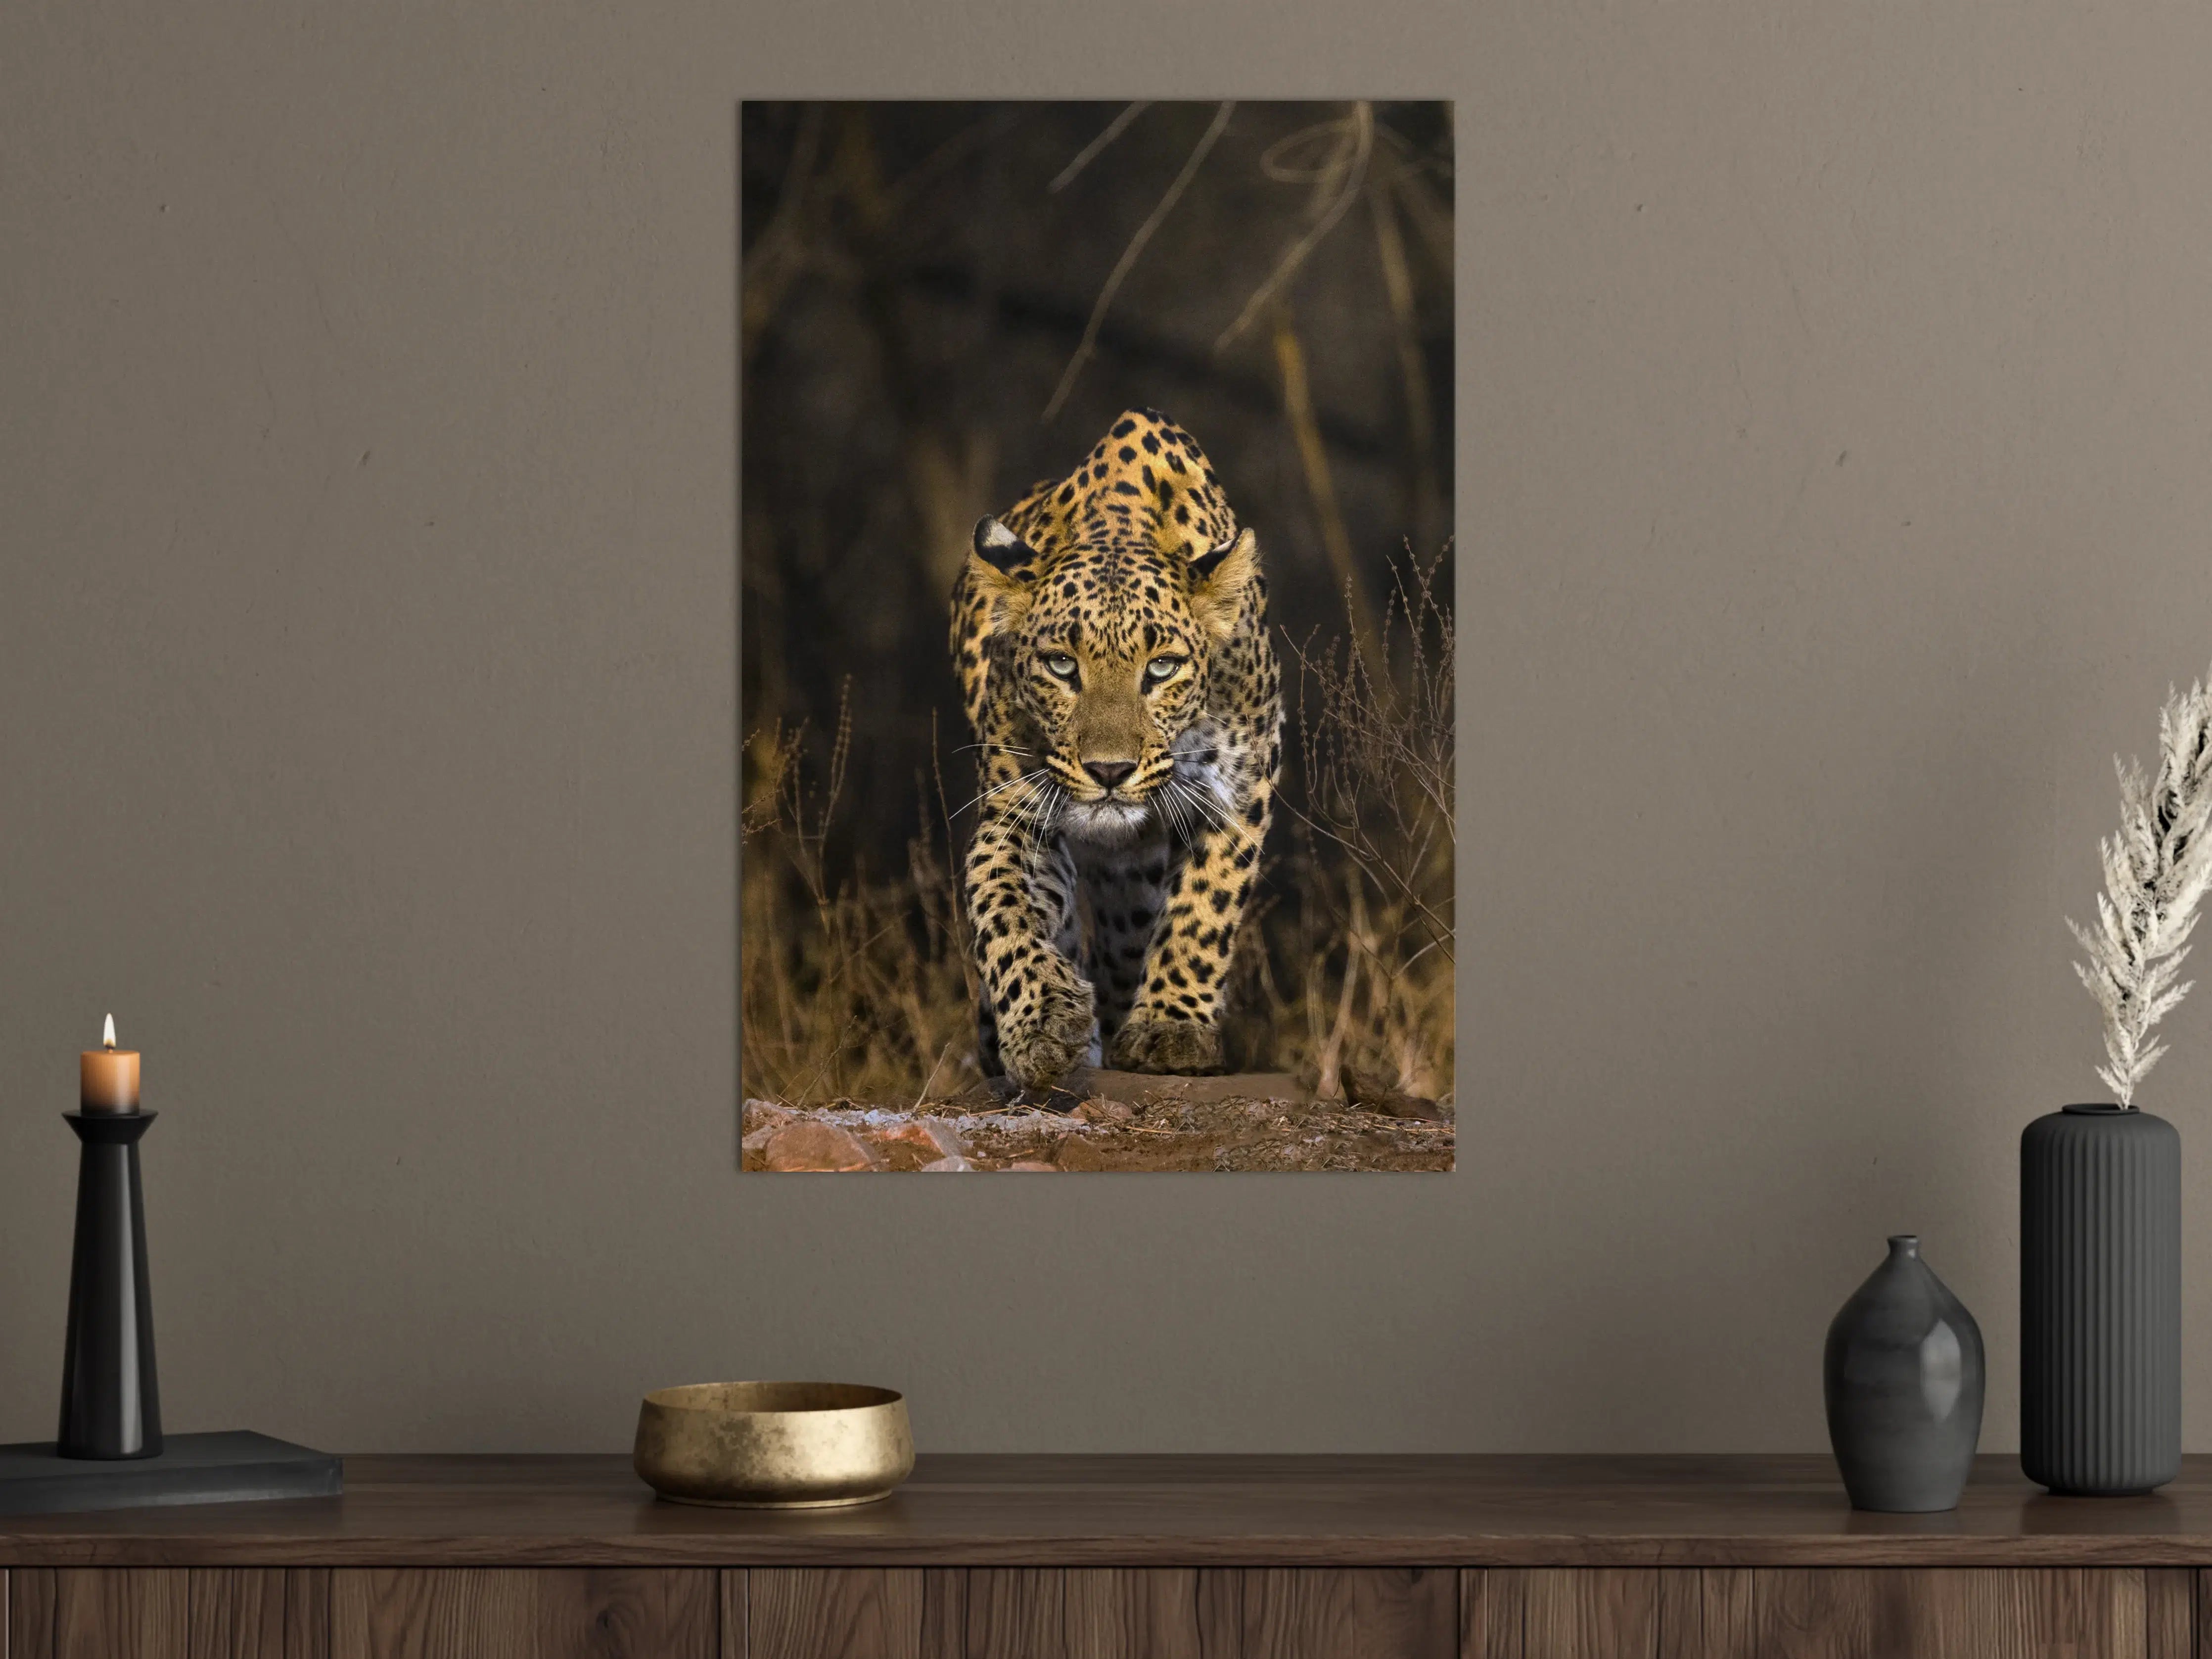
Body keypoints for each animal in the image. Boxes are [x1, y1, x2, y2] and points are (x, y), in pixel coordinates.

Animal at [949, 408, 1282, 1090]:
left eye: (1161, 668)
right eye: (1059, 665)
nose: (1109, 771)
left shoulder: (1241, 787)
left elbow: (1204, 907)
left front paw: (1171, 1028)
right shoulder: (1017, 812)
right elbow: (1001, 903)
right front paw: (1042, 1022)